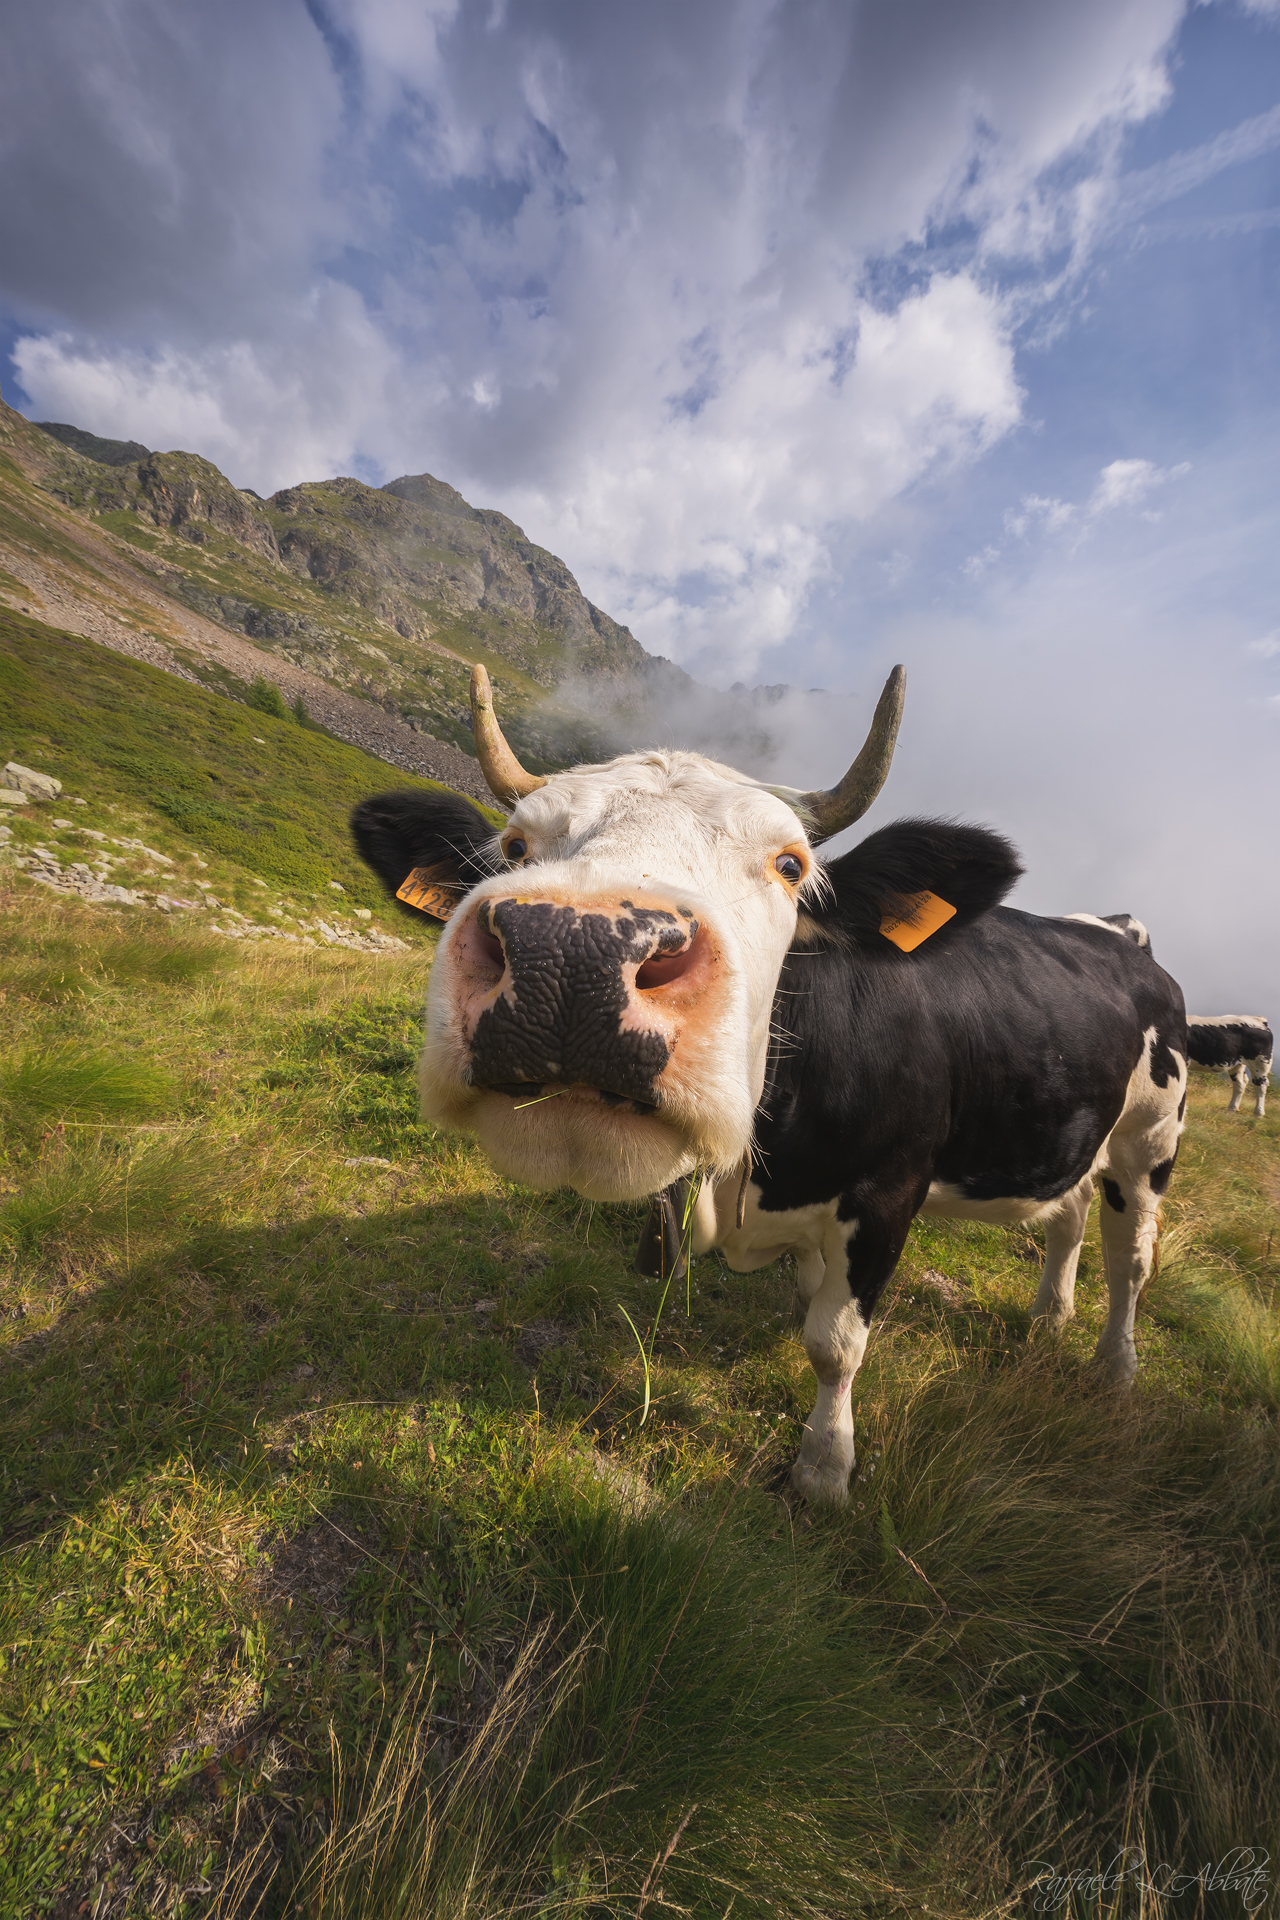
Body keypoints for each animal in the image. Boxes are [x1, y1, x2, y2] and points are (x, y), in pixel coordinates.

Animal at [352, 665, 1188, 1505]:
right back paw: (1050, 1317)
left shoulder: (888, 1191)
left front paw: (824, 1465)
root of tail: (1120, 933)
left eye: (790, 865)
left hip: (1151, 1136)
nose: (573, 950)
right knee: (1069, 1214)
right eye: (516, 844)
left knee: (1131, 1255)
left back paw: (1115, 1366)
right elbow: (810, 1294)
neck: (742, 1178)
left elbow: (835, 1342)